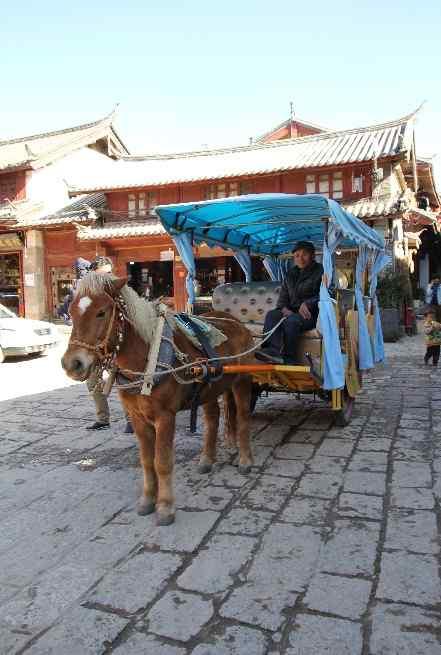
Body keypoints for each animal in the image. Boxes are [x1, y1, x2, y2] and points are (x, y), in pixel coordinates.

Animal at [62, 274, 254, 524]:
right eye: (72, 311)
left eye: (101, 312)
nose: (72, 364)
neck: (146, 360)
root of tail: (237, 322)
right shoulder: (137, 417)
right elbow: (146, 461)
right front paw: (147, 500)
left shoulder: (165, 416)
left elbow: (161, 462)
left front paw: (165, 507)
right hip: (210, 387)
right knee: (213, 418)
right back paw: (207, 459)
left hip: (242, 381)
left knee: (242, 418)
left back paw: (245, 460)